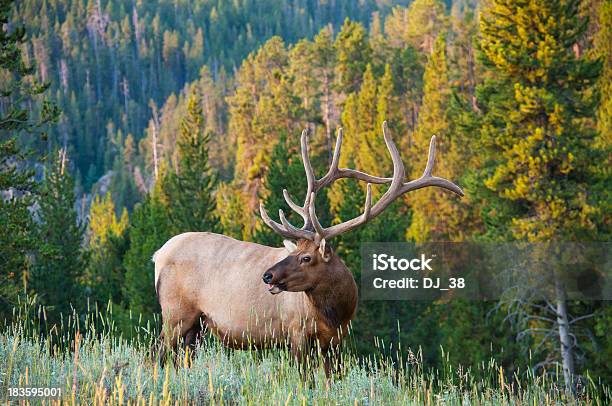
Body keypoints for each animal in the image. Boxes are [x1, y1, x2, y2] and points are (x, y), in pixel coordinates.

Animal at [153, 121, 464, 378]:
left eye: (305, 257)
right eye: (292, 254)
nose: (267, 276)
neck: (334, 312)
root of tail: (158, 254)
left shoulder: (336, 340)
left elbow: (331, 380)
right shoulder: (296, 331)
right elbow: (305, 381)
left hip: (197, 325)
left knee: (183, 358)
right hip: (175, 312)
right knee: (161, 354)